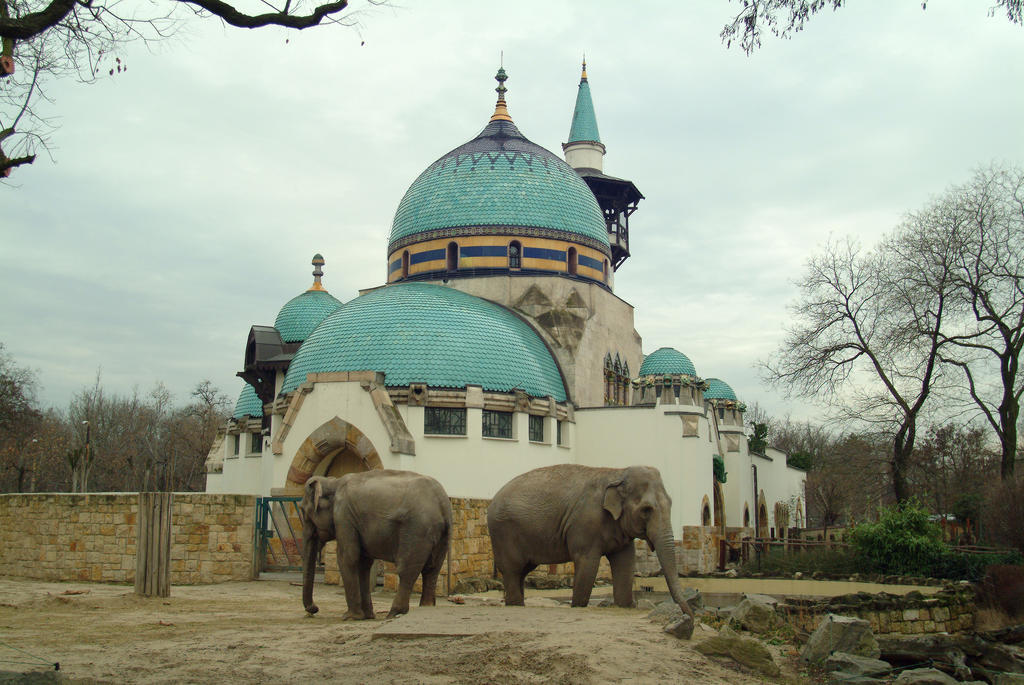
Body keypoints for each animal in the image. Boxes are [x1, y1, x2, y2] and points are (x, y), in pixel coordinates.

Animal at [299, 471, 452, 618]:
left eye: (303, 511)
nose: (314, 609)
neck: (333, 482)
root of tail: (443, 504)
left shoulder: (344, 517)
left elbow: (347, 558)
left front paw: (350, 616)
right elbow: (363, 563)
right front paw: (367, 616)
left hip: (417, 531)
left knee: (407, 570)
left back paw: (394, 613)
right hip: (441, 535)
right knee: (432, 569)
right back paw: (425, 607)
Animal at [485, 464, 696, 630]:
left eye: (671, 504)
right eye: (646, 510)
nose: (688, 617)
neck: (617, 472)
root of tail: (492, 501)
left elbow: (626, 563)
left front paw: (625, 606)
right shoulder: (585, 524)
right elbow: (588, 562)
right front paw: (578, 606)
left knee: (522, 571)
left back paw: (516, 602)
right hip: (504, 533)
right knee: (512, 570)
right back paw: (516, 604)